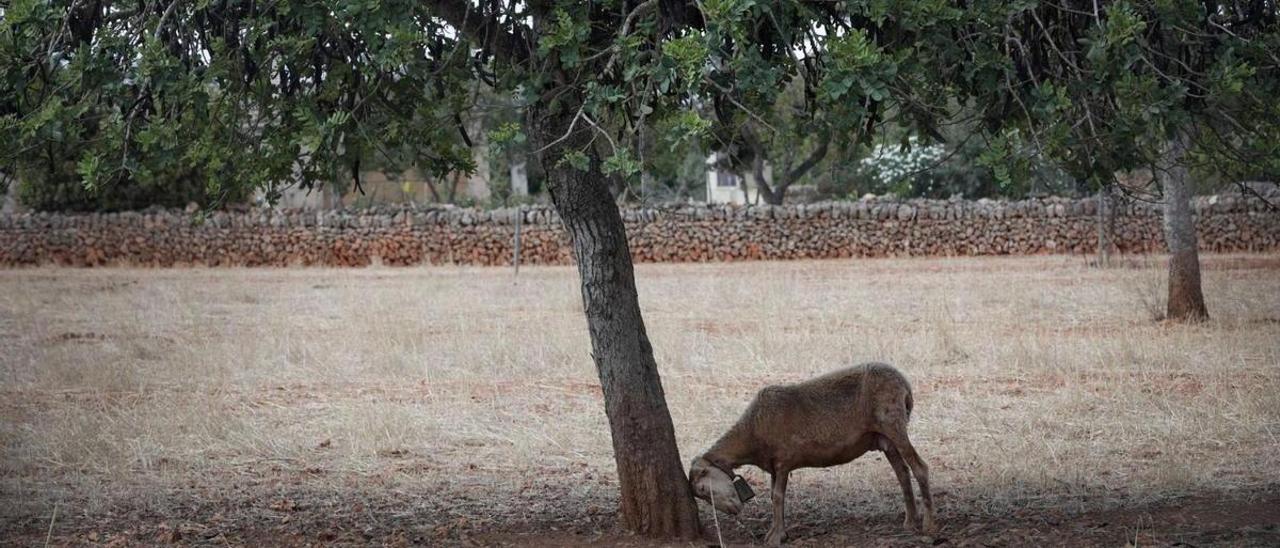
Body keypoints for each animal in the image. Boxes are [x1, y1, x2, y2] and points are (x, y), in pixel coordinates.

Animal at [691, 361, 942, 545]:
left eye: (702, 489)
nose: (733, 512)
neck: (751, 432)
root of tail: (904, 382)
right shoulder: (774, 467)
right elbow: (774, 496)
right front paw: (779, 531)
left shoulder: (783, 460)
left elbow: (777, 496)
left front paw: (775, 537)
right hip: (885, 438)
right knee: (902, 473)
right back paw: (910, 521)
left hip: (893, 423)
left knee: (920, 467)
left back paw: (929, 525)